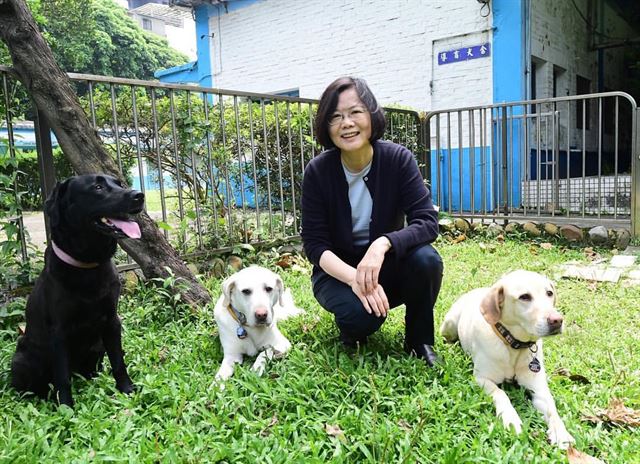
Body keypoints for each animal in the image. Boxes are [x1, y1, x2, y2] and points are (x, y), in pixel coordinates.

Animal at [440, 270, 576, 448]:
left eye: (549, 293)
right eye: (524, 297)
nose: (557, 320)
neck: (514, 345)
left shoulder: (538, 387)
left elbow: (552, 408)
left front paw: (561, 432)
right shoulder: (482, 379)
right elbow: (500, 393)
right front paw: (511, 419)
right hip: (449, 324)